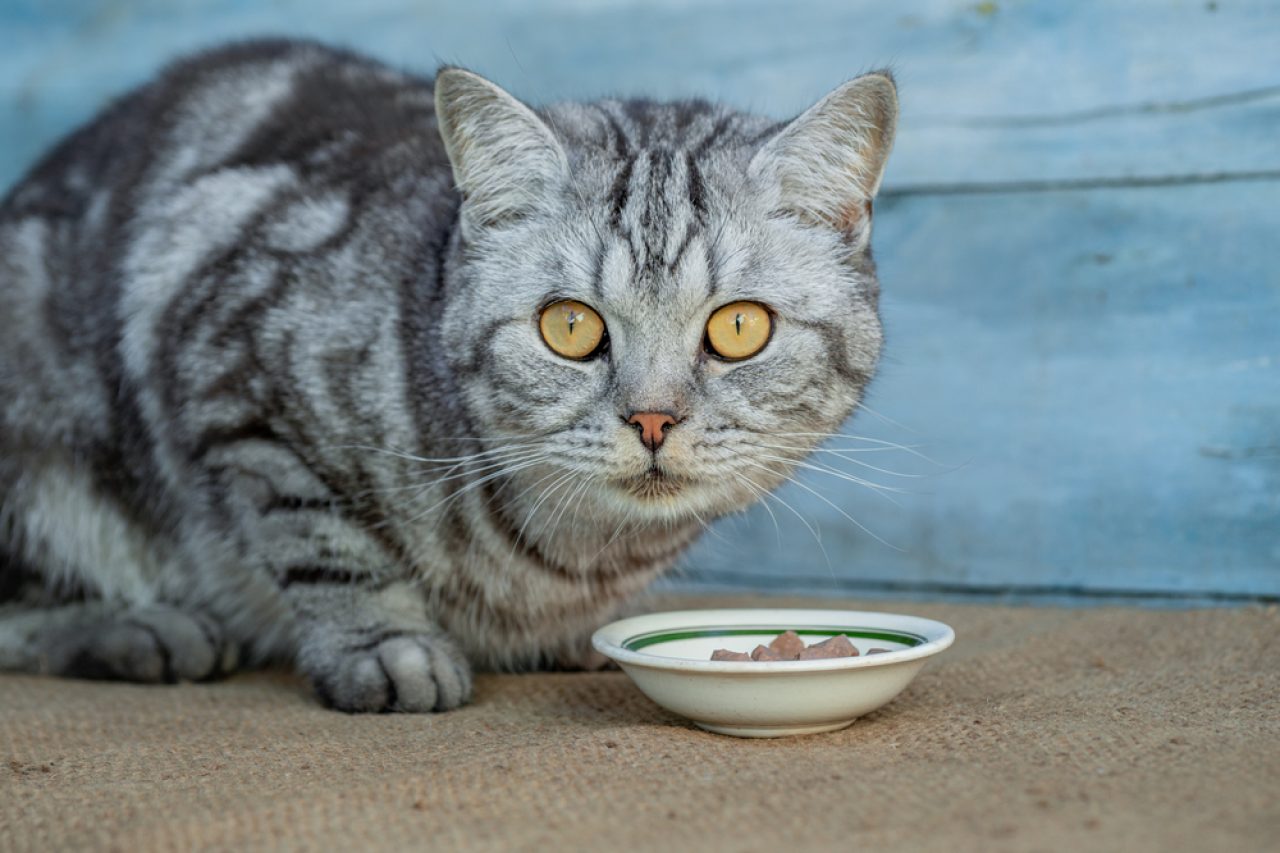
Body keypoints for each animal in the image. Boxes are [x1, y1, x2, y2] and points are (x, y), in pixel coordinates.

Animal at [0, 39, 896, 706]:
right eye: (570, 327)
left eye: (738, 328)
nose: (652, 418)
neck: (575, 557)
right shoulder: (233, 373)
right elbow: (322, 537)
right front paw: (387, 644)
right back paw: (141, 628)